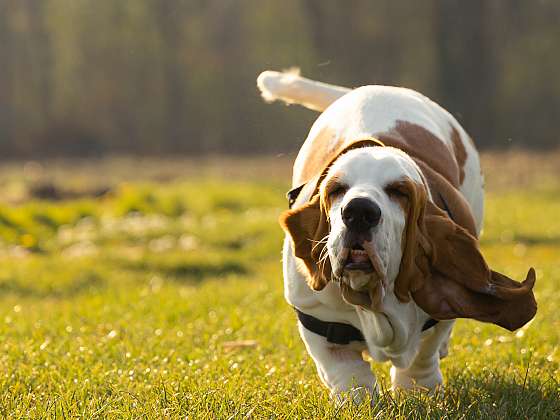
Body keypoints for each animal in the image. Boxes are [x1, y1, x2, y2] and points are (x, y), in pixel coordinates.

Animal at [258, 70, 540, 402]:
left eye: (399, 192)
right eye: (337, 189)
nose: (359, 211)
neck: (375, 298)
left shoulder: (436, 313)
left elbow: (425, 350)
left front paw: (418, 390)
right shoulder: (316, 316)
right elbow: (345, 369)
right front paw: (358, 400)